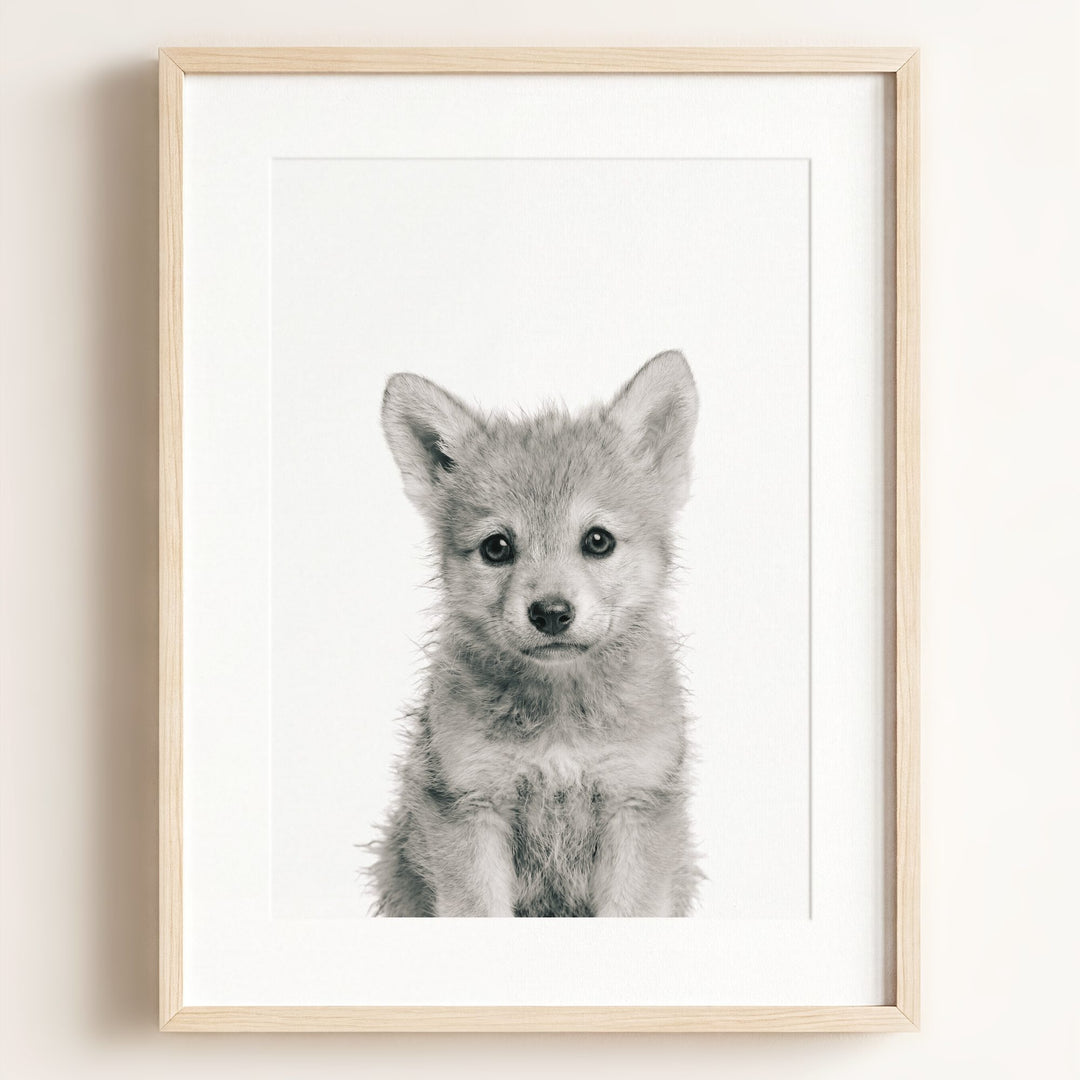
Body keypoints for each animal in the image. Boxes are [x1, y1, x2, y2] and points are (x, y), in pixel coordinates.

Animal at [370, 350, 701, 917]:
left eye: (598, 540)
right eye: (496, 547)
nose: (550, 613)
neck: (560, 723)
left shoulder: (635, 803)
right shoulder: (471, 807)